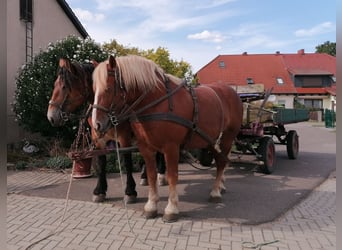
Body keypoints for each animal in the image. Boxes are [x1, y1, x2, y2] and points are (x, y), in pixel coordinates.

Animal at [46, 59, 166, 205]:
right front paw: (100, 190)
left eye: (64, 86)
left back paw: (161, 174)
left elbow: (127, 162)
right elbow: (101, 163)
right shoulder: (98, 137)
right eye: (55, 85)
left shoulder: (124, 137)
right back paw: (145, 176)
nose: (51, 116)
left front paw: (130, 191)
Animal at [91, 55, 243, 223]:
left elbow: (172, 176)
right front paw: (151, 206)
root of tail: (231, 91)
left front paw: (171, 209)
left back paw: (216, 191)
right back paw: (221, 185)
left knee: (221, 162)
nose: (96, 125)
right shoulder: (146, 148)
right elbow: (151, 175)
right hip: (212, 139)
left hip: (227, 137)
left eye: (108, 88)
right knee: (220, 160)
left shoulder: (171, 148)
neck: (158, 103)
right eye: (93, 89)